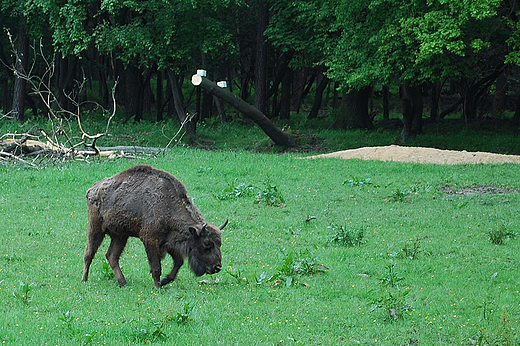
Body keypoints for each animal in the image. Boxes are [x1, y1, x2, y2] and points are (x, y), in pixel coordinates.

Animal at [80, 164, 225, 286]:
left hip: (120, 235)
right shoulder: (150, 240)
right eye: (207, 244)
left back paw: (123, 282)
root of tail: (92, 189)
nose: (217, 267)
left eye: (219, 243)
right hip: (95, 229)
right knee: (89, 254)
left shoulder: (168, 241)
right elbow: (156, 267)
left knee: (112, 256)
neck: (168, 205)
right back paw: (84, 279)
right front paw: (157, 286)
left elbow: (178, 262)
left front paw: (165, 280)